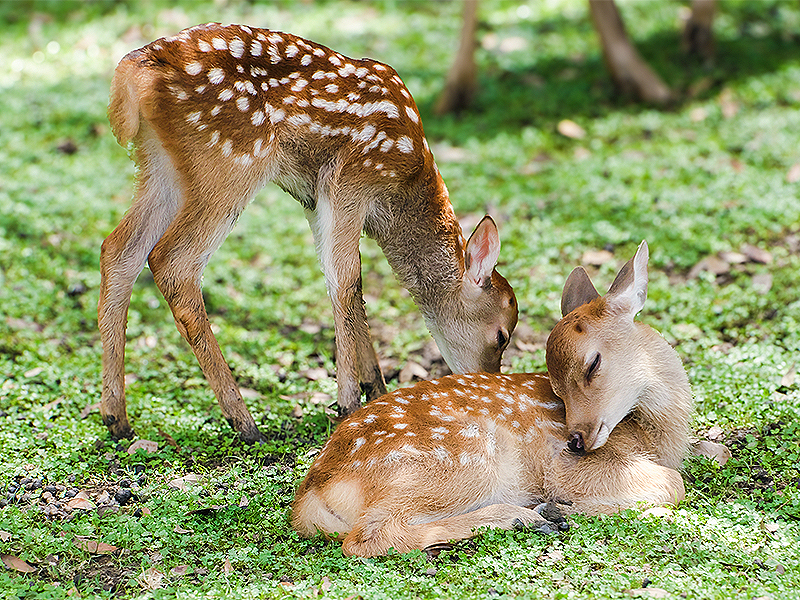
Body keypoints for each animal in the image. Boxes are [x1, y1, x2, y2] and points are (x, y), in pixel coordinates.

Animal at [99, 23, 518, 443]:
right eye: (501, 336)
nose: (487, 384)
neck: (404, 191)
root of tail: (132, 72)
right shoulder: (350, 178)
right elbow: (345, 277)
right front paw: (349, 401)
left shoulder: (312, 199)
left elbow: (352, 284)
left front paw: (376, 388)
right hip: (231, 161)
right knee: (172, 262)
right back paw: (244, 422)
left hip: (161, 165)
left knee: (119, 250)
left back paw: (117, 418)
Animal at [292, 241, 693, 557]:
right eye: (557, 389)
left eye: (592, 364)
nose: (576, 441)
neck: (655, 437)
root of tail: (310, 494)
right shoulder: (564, 468)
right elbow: (674, 484)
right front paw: (569, 508)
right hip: (460, 457)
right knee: (367, 537)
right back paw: (525, 517)